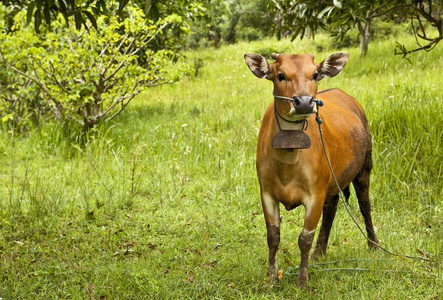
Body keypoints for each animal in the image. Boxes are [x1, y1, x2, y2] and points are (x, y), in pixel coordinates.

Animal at [246, 52, 378, 288]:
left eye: (315, 74)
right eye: (280, 75)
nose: (304, 102)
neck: (288, 161)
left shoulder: (315, 192)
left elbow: (305, 238)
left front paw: (302, 279)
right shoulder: (266, 192)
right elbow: (273, 236)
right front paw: (271, 277)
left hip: (365, 166)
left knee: (365, 205)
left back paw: (373, 244)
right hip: (334, 180)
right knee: (331, 209)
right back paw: (320, 252)